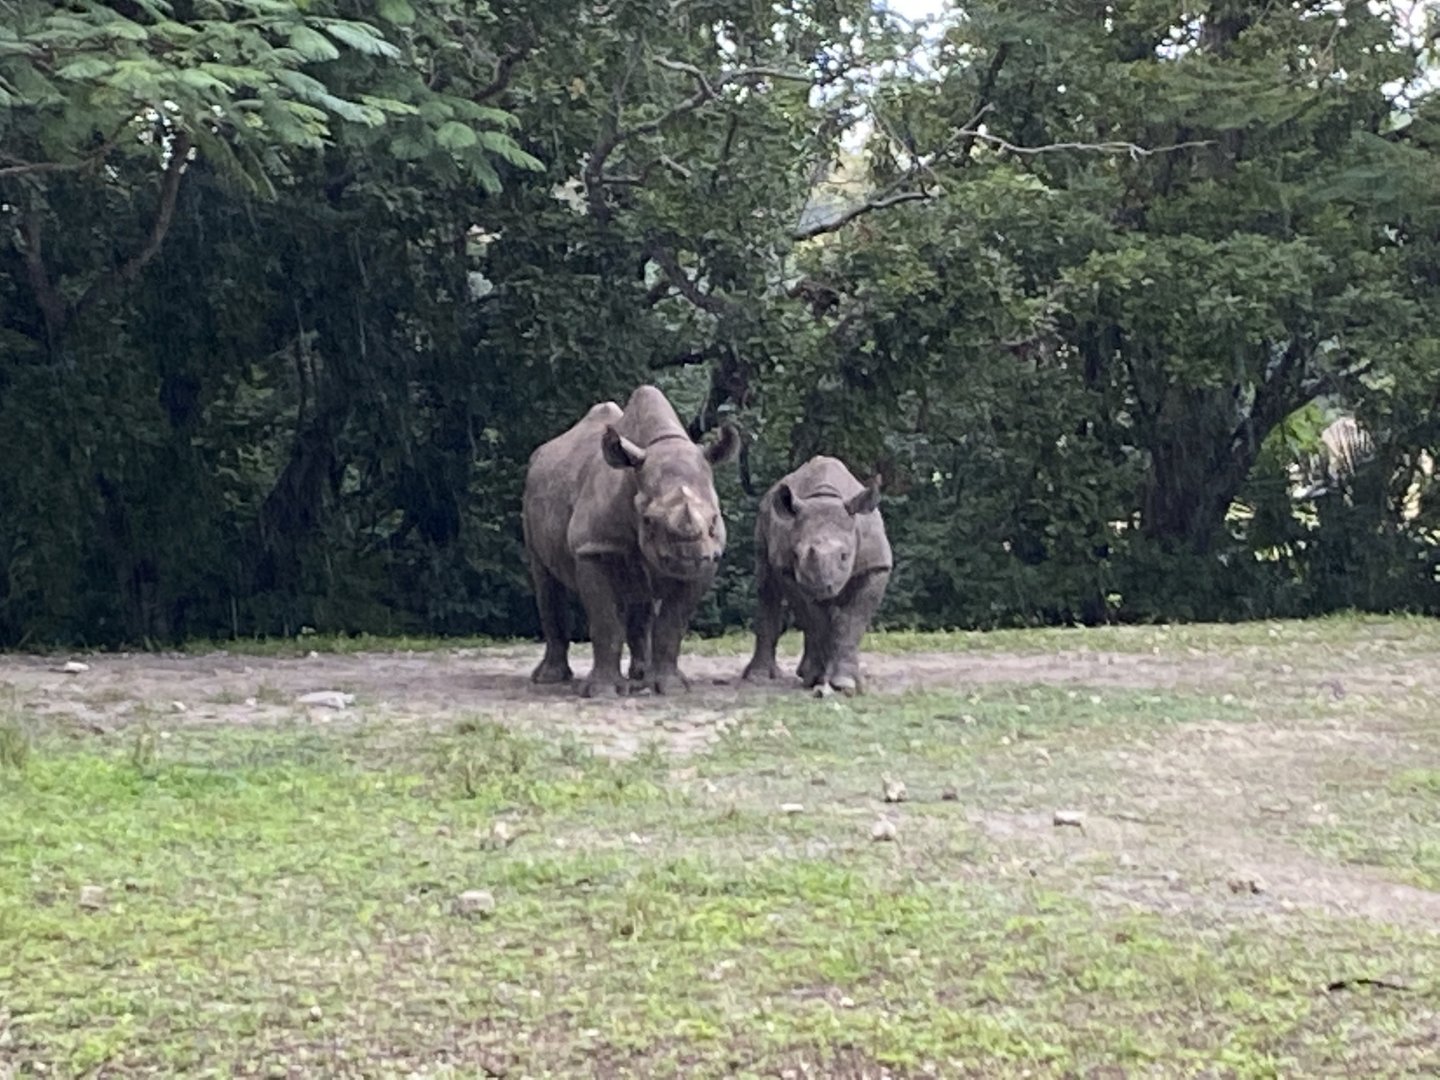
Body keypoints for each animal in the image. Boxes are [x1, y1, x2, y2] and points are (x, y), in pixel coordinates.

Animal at [522, 385, 738, 697]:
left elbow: (672, 625)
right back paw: (550, 679)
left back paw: (641, 677)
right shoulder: (593, 548)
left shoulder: (709, 561)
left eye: (714, 520)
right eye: (647, 520)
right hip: (530, 492)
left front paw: (671, 687)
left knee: (641, 598)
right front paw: (602, 692)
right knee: (545, 580)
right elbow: (605, 622)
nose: (689, 557)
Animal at [741, 455, 892, 694]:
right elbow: (813, 619)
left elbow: (853, 620)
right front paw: (819, 680)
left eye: (844, 556)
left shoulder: (877, 566)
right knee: (767, 589)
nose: (820, 587)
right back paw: (764, 677)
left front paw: (844, 683)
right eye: (795, 554)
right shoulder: (788, 570)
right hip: (764, 517)